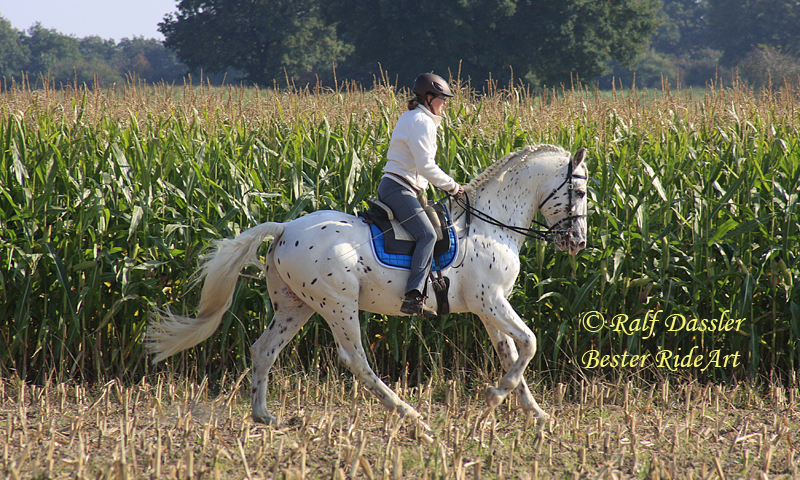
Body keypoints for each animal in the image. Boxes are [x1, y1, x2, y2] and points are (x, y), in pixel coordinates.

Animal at [147, 143, 588, 428]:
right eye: (581, 191)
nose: (578, 242)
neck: (490, 225)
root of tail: (286, 227)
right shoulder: (491, 302)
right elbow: (529, 343)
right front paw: (495, 396)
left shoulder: (488, 307)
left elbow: (511, 351)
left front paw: (536, 413)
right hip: (338, 305)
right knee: (355, 359)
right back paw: (409, 414)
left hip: (295, 306)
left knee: (263, 350)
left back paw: (264, 415)